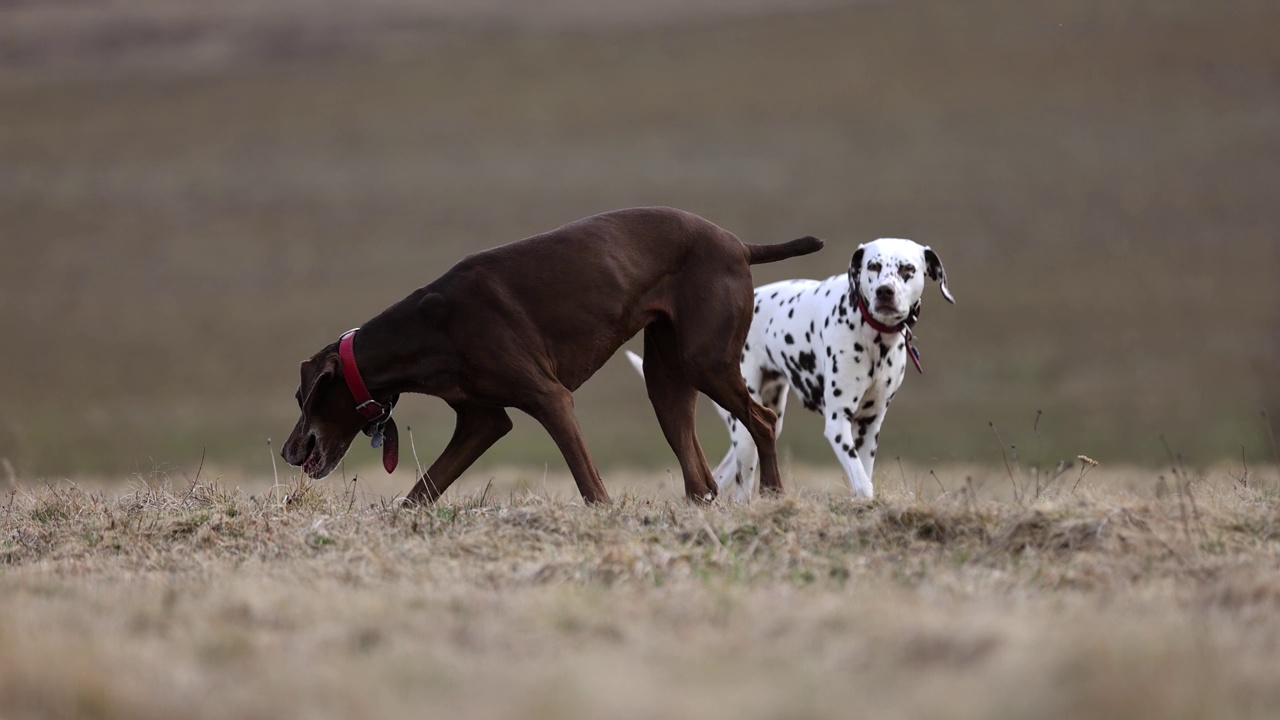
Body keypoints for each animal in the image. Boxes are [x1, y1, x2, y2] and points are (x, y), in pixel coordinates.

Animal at [280, 204, 819, 502]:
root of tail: (738, 245)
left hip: (705, 362)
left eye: (302, 397)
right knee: (699, 478)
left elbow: (591, 488)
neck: (428, 325)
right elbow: (421, 493)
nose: (287, 452)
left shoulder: (550, 399)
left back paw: (774, 497)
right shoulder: (482, 422)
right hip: (666, 379)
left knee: (763, 420)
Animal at [629, 238, 952, 497]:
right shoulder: (838, 422)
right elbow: (862, 483)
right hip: (745, 428)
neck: (874, 338)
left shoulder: (870, 425)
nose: (885, 292)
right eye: (873, 266)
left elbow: (864, 474)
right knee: (740, 487)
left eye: (907, 269)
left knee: (722, 475)